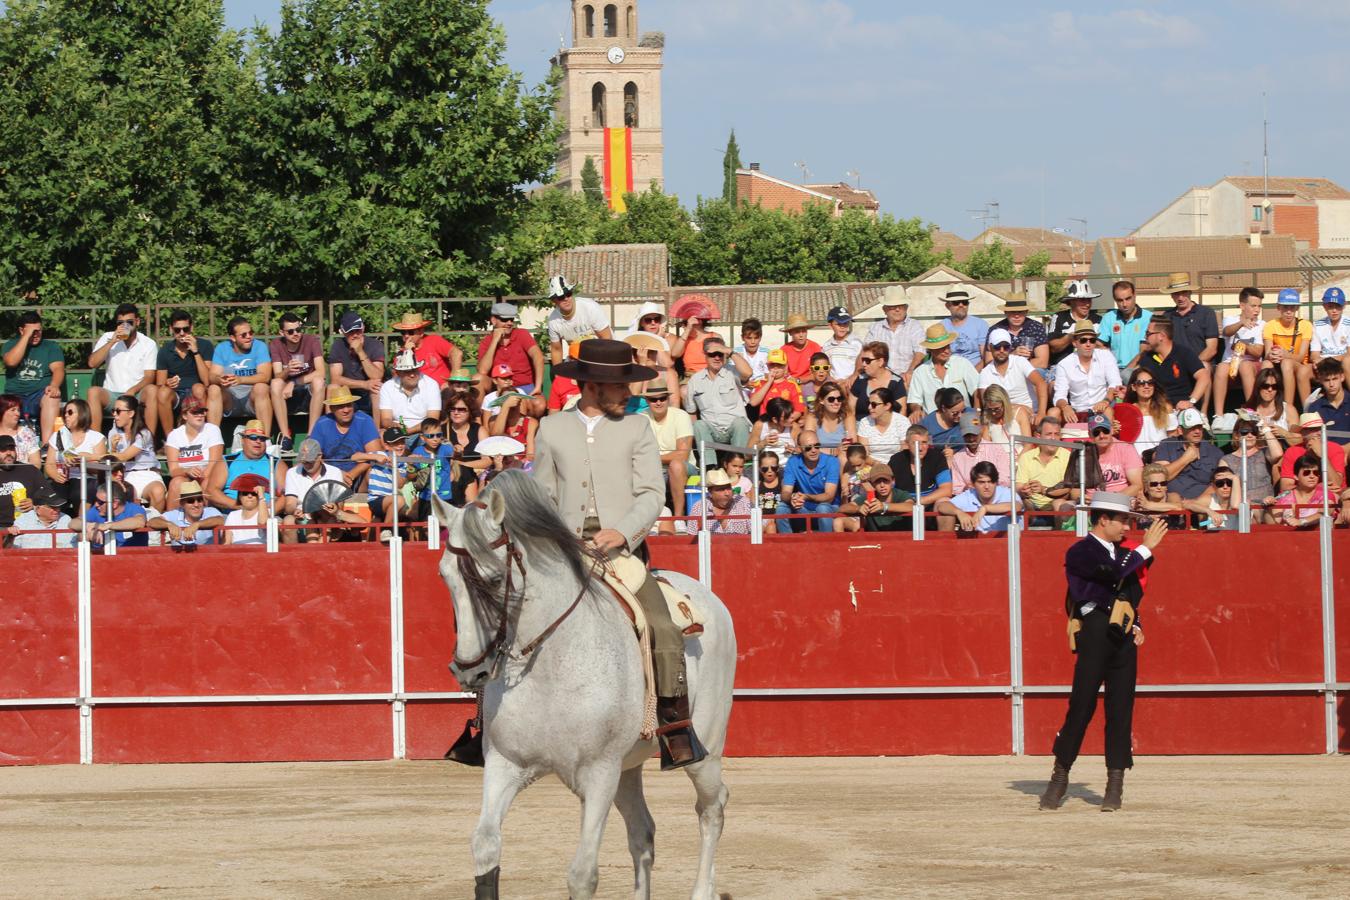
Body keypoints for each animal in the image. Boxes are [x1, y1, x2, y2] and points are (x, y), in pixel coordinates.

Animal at [432, 474, 734, 895]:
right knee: (643, 832)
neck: (551, 665)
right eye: (445, 576)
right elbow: (485, 845)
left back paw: (703, 890)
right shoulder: (505, 764)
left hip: (705, 750)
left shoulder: (599, 772)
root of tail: (707, 597)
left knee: (711, 808)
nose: (467, 670)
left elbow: (582, 873)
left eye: (493, 578)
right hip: (629, 766)